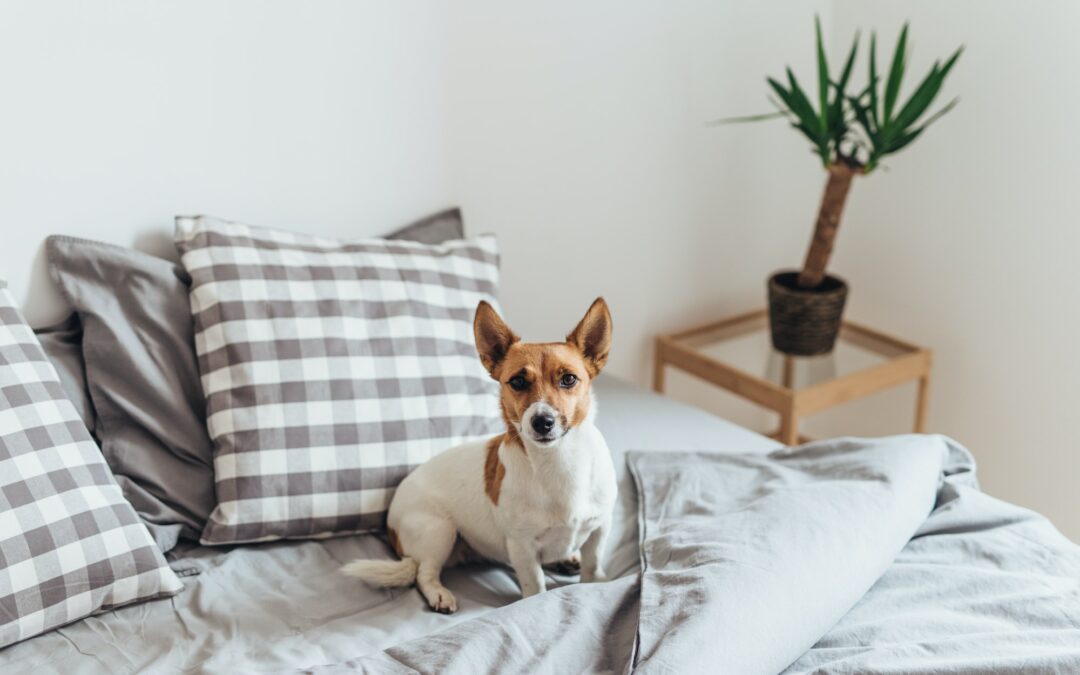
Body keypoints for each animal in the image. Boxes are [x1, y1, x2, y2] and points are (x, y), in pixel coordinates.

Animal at [341, 298, 622, 613]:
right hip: (439, 530)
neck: (558, 460)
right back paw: (439, 594)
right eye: (518, 382)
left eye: (569, 379)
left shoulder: (600, 529)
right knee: (423, 573)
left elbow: (593, 565)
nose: (542, 421)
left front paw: (593, 582)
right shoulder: (522, 546)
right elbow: (535, 586)